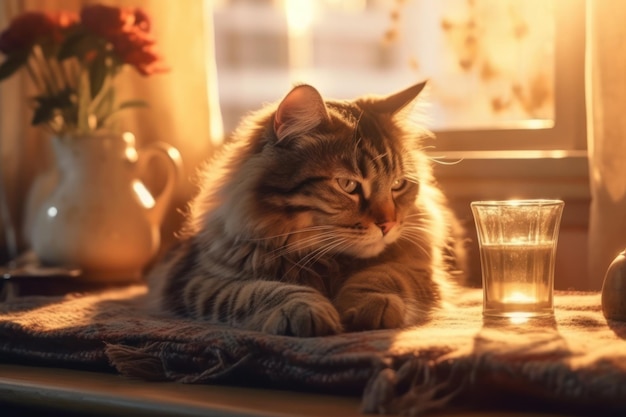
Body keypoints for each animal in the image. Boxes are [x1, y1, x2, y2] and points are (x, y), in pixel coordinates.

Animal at [149, 80, 466, 334]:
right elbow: (258, 290)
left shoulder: (419, 268)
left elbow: (383, 275)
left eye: (398, 184)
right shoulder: (198, 279)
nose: (388, 225)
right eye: (348, 185)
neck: (324, 259)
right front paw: (303, 309)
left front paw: (370, 303)